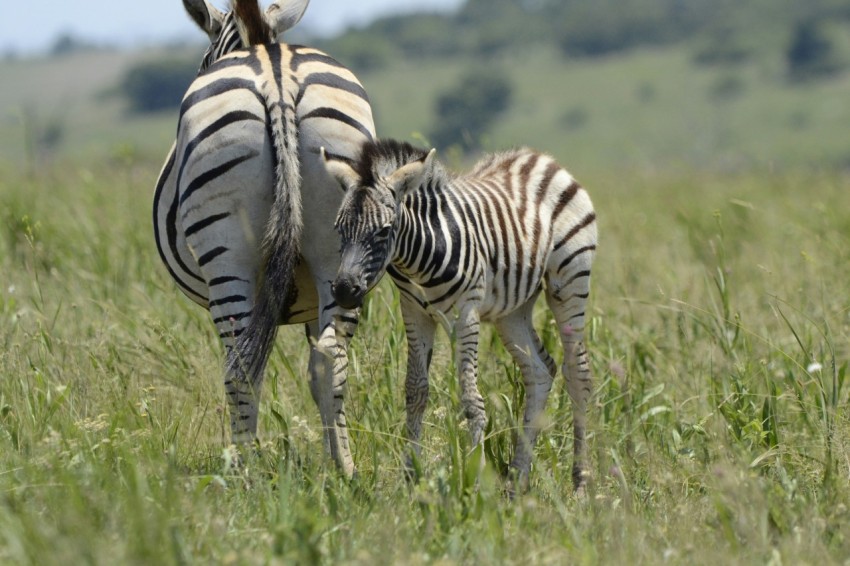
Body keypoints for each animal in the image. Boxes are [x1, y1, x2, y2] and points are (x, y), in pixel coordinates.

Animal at [152, 0, 374, 478]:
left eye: (204, 58)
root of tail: (276, 75)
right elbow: (314, 371)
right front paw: (330, 455)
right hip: (338, 242)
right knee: (331, 359)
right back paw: (344, 470)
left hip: (226, 252)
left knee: (239, 366)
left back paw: (243, 470)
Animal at [320, 140, 596, 490]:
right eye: (338, 229)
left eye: (384, 231)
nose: (343, 291)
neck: (418, 259)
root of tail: (541, 159)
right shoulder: (414, 310)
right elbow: (415, 391)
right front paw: (411, 477)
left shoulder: (467, 312)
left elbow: (471, 400)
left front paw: (476, 481)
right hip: (513, 310)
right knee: (539, 371)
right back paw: (517, 480)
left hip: (571, 281)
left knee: (578, 374)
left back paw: (580, 483)